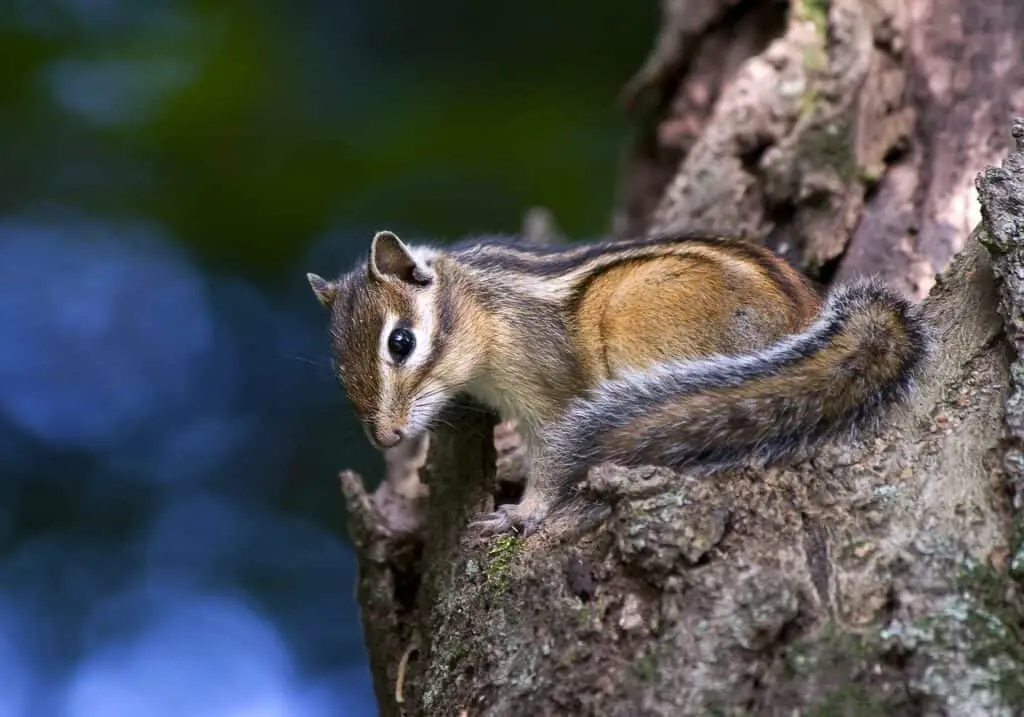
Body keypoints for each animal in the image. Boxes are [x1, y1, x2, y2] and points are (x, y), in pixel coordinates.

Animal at [307, 231, 933, 536]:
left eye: (400, 343)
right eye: (336, 368)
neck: (485, 306)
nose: (386, 438)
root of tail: (810, 324)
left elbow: (552, 459)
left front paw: (522, 514)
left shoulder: (549, 396)